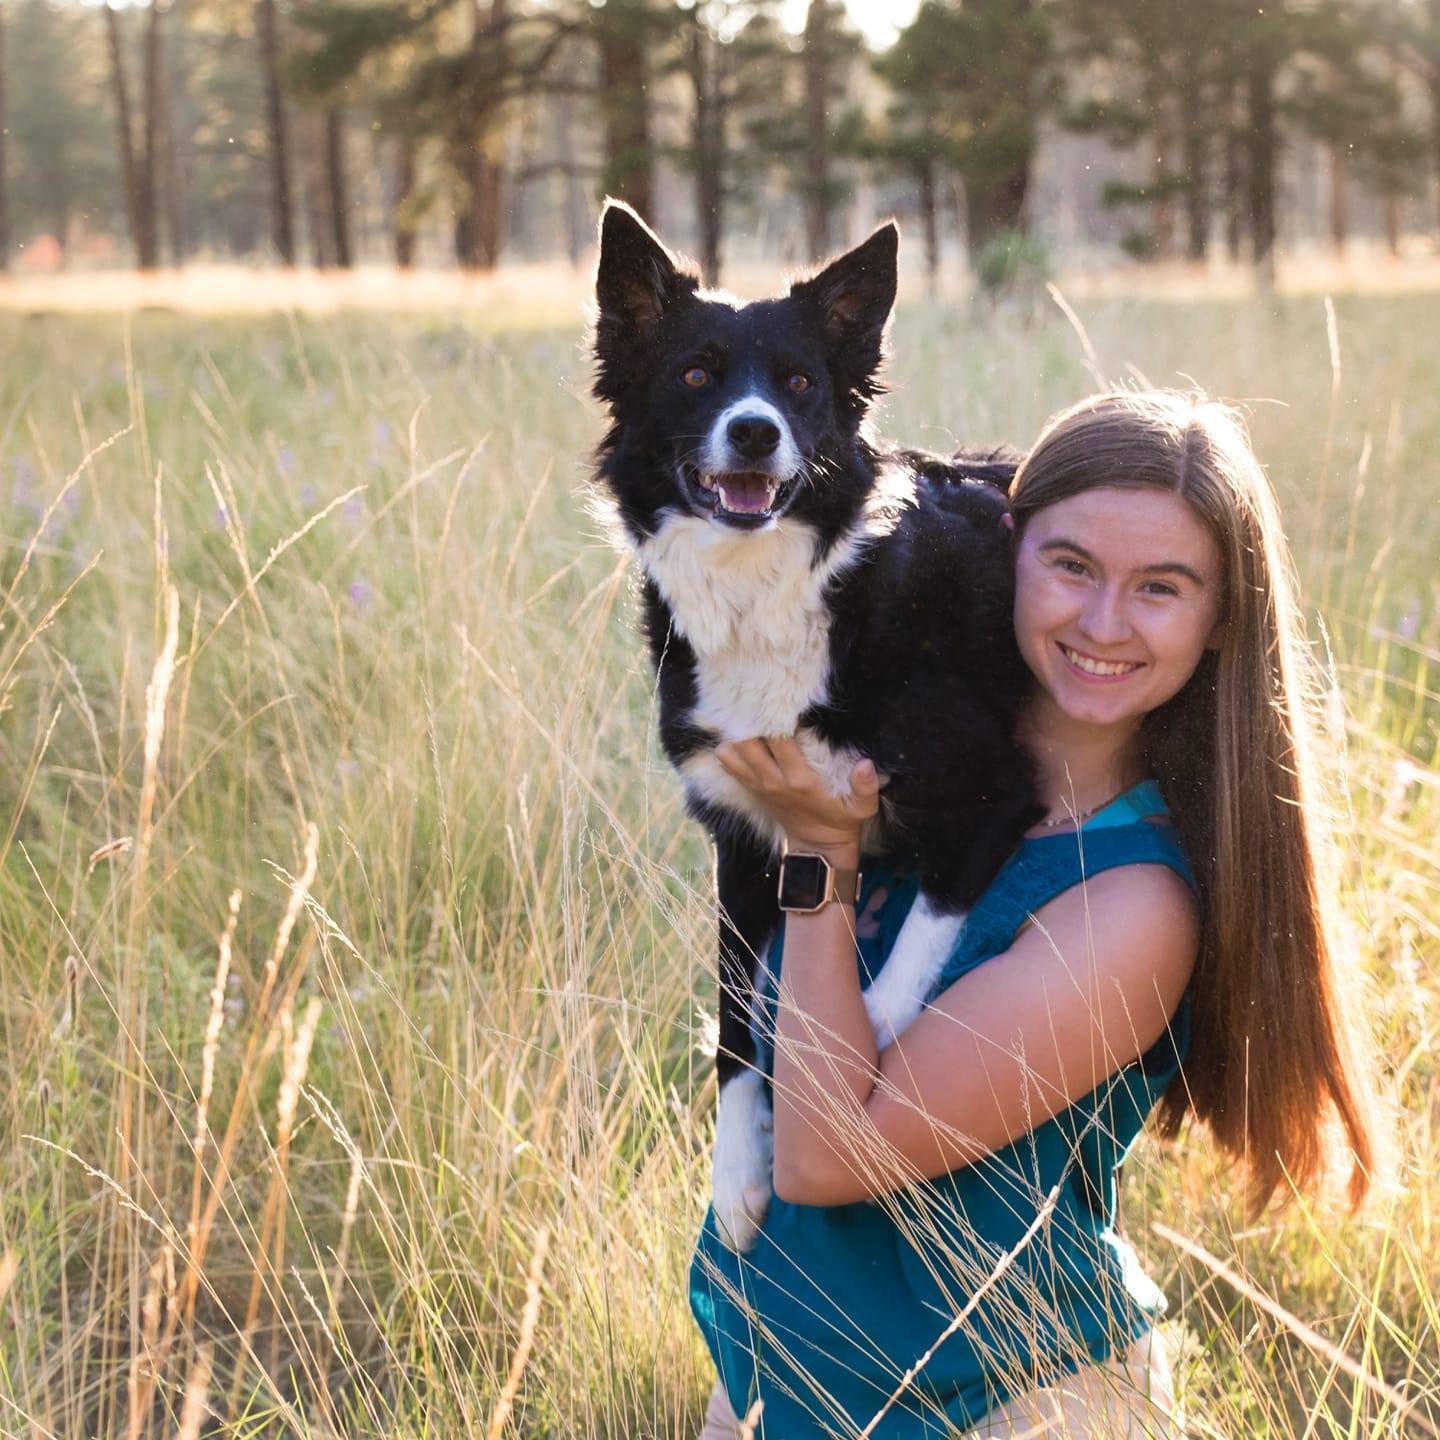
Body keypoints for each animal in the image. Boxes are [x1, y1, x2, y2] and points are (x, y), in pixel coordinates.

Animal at [591, 201, 1039, 1251]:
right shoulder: (740, 835)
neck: (765, 594)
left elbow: (910, 955)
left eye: (798, 382)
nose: (755, 433)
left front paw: (852, 1055)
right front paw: (737, 1175)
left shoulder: (997, 793)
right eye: (696, 375)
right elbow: (731, 1020)